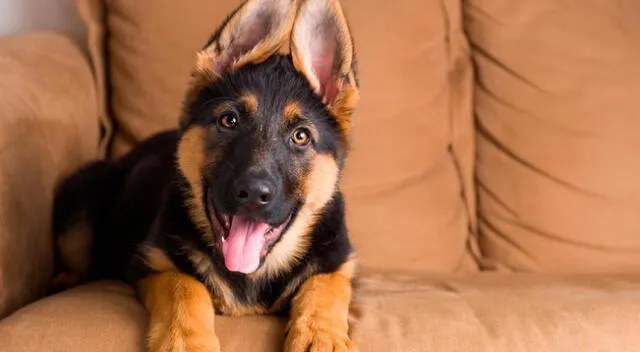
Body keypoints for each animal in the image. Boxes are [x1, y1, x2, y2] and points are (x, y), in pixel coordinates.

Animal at [51, 0, 360, 350]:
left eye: (301, 136)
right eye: (229, 120)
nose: (253, 193)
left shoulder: (339, 263)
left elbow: (325, 286)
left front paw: (321, 336)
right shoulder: (154, 264)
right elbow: (185, 287)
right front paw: (186, 340)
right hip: (79, 207)